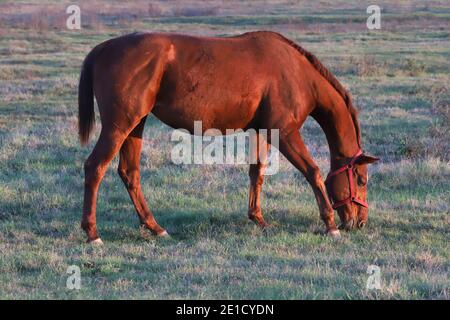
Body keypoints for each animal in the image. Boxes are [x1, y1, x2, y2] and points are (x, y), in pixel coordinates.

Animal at [79, 31, 378, 244]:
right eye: (361, 180)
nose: (360, 222)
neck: (296, 73)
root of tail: (101, 49)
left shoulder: (263, 132)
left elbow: (256, 172)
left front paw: (258, 219)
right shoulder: (286, 134)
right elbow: (313, 172)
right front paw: (329, 224)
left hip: (135, 126)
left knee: (129, 172)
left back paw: (155, 228)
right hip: (119, 126)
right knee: (95, 167)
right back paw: (93, 233)